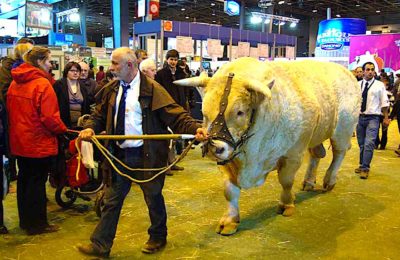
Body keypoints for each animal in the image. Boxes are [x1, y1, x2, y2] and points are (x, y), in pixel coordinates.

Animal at [173, 58, 360, 237]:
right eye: (204, 112)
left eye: (240, 112)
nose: (214, 148)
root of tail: (346, 73)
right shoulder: (227, 160)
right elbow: (229, 191)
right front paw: (230, 221)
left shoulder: (294, 152)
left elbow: (286, 180)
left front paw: (286, 204)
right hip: (317, 133)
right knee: (317, 154)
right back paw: (308, 181)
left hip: (343, 128)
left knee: (338, 154)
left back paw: (329, 181)